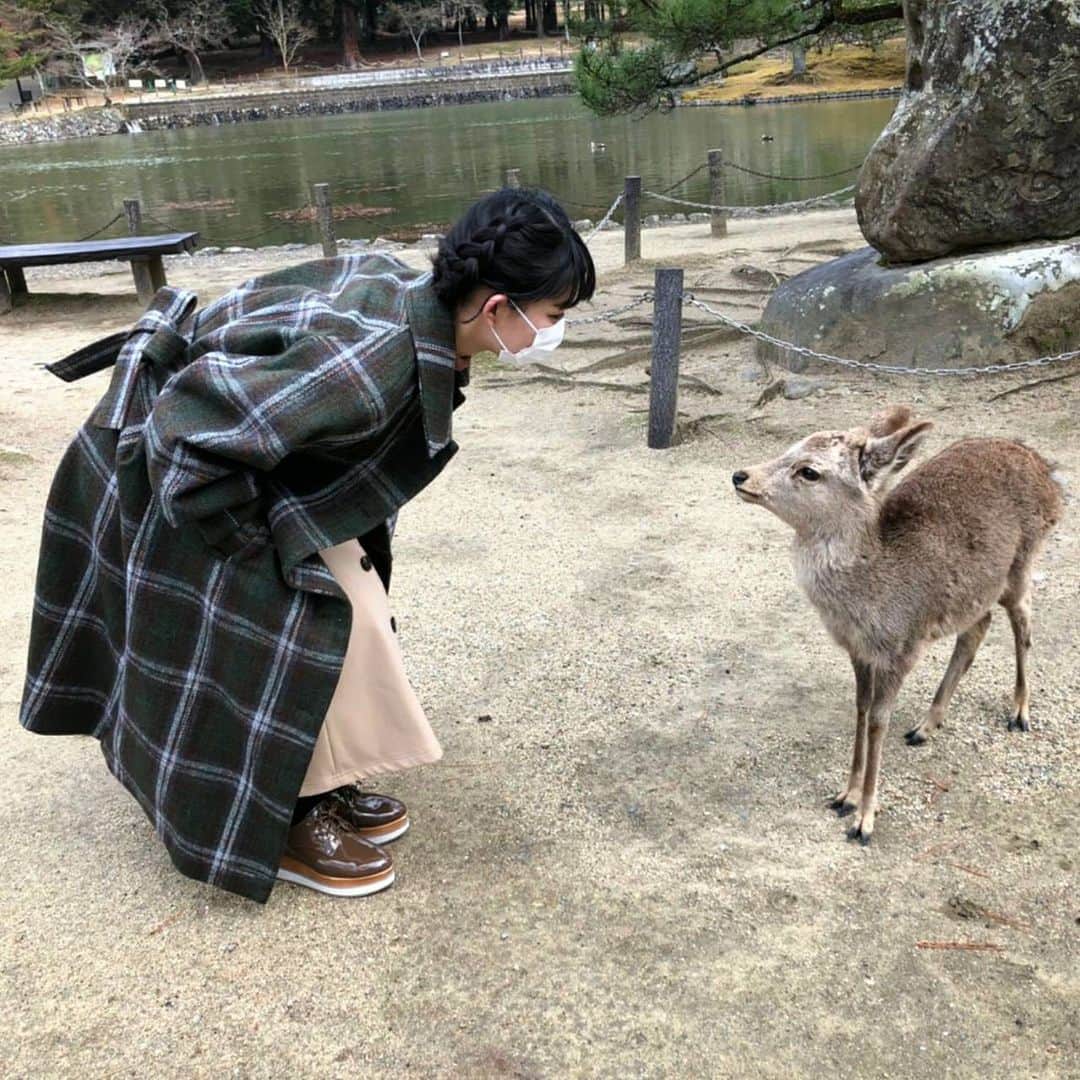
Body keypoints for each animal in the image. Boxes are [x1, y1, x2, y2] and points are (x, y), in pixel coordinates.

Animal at [732, 406, 1062, 844]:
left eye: (809, 471)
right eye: (790, 447)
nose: (741, 476)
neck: (871, 594)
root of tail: (1049, 473)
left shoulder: (903, 647)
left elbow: (878, 721)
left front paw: (865, 820)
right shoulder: (859, 650)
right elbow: (860, 708)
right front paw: (845, 796)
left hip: (1022, 563)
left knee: (1023, 623)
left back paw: (1019, 712)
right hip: (976, 589)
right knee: (977, 627)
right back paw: (926, 724)